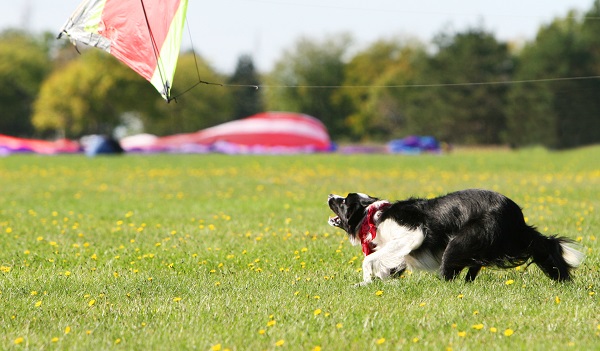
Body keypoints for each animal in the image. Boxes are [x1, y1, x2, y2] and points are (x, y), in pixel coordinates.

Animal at [328, 190, 584, 286]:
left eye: (343, 201)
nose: (330, 195)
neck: (371, 215)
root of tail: (516, 215)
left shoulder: (411, 236)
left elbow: (369, 259)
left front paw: (366, 280)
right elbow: (386, 266)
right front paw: (378, 282)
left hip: (460, 241)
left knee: (450, 268)